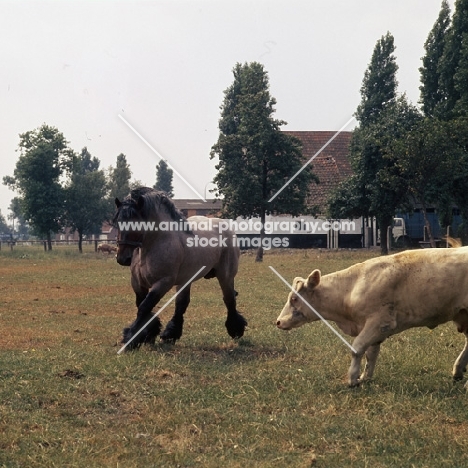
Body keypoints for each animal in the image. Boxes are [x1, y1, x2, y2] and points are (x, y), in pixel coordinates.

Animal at [113, 188, 247, 350]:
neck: (154, 244)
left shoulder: (164, 282)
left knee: (229, 299)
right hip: (185, 280)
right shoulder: (138, 283)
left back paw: (235, 329)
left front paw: (131, 338)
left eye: (136, 224)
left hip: (225, 276)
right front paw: (149, 333)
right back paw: (170, 334)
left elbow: (144, 307)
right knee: (182, 304)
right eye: (118, 223)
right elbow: (143, 306)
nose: (122, 258)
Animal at [276, 247, 468, 386]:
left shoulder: (380, 322)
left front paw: (352, 379)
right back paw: (458, 372)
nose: (278, 322)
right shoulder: (374, 329)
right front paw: (365, 377)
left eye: (294, 298)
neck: (352, 287)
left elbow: (357, 348)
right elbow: (371, 353)